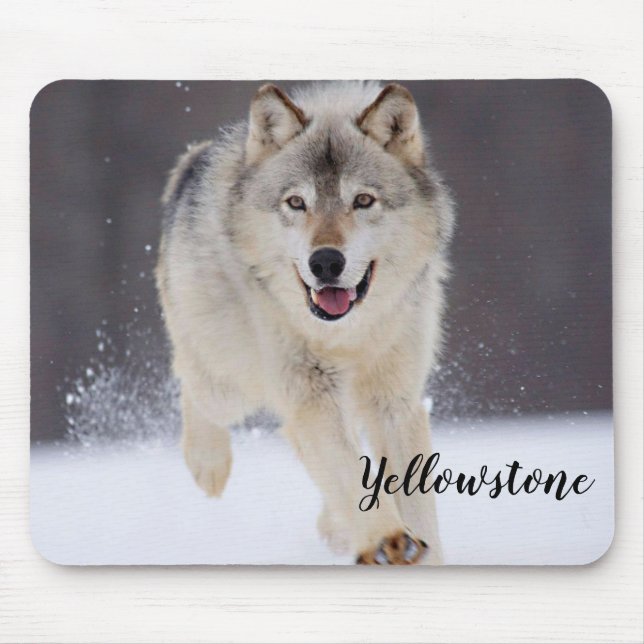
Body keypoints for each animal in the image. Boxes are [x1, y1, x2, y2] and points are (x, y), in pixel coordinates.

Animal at [156, 81, 455, 565]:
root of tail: (194, 160)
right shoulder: (311, 391)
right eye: (296, 202)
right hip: (230, 382)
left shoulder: (394, 401)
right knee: (192, 382)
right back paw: (208, 465)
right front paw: (386, 540)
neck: (346, 335)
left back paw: (335, 530)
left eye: (363, 200)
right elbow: (348, 472)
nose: (326, 262)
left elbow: (409, 496)